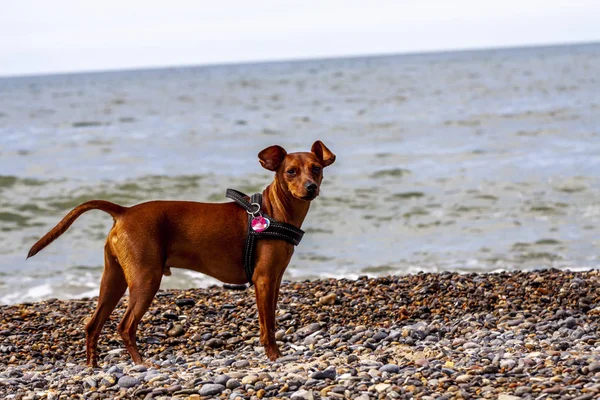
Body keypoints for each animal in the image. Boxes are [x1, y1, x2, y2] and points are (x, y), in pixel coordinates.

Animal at [27, 141, 332, 366]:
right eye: (290, 171)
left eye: (316, 168)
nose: (311, 187)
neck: (273, 211)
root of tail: (123, 212)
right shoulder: (264, 280)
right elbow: (267, 327)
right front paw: (274, 356)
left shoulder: (275, 280)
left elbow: (271, 320)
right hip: (146, 279)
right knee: (125, 326)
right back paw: (141, 363)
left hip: (113, 280)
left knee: (92, 325)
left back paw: (93, 366)